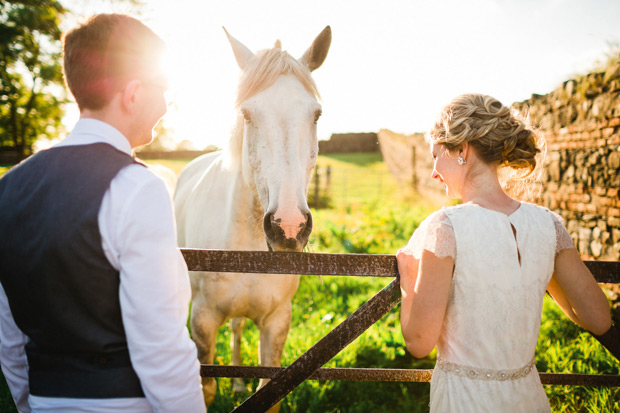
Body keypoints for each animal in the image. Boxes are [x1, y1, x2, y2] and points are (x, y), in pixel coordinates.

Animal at [172, 26, 332, 408]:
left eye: (316, 115)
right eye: (247, 115)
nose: (289, 227)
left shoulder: (277, 320)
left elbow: (267, 391)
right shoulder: (202, 319)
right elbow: (207, 387)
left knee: (237, 328)